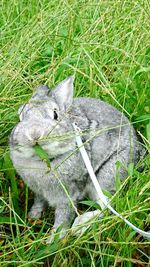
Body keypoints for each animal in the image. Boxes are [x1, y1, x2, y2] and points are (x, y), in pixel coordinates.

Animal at [9, 76, 144, 243]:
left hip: (109, 174)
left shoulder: (68, 194)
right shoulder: (39, 191)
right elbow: (39, 201)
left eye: (55, 115)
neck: (44, 160)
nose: (34, 135)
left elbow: (64, 216)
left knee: (106, 206)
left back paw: (80, 225)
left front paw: (54, 240)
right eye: (20, 116)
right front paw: (33, 215)